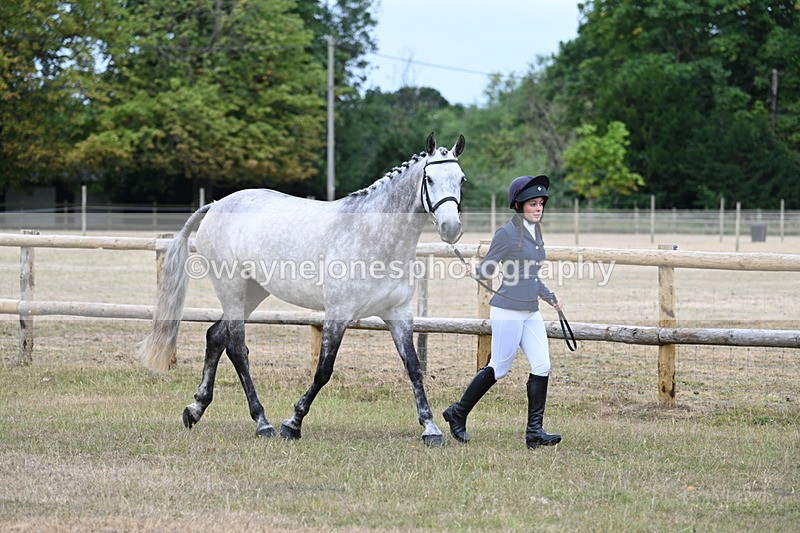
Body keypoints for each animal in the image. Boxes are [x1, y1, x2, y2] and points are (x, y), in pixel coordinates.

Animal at [137, 133, 466, 446]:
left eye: (461, 179)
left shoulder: (398, 314)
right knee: (236, 348)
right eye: (429, 178)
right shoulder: (338, 314)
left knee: (215, 336)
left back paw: (195, 410)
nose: (451, 228)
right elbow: (323, 371)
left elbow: (413, 367)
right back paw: (263, 422)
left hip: (253, 292)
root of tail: (216, 204)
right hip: (232, 288)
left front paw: (431, 428)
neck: (373, 236)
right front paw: (292, 424)